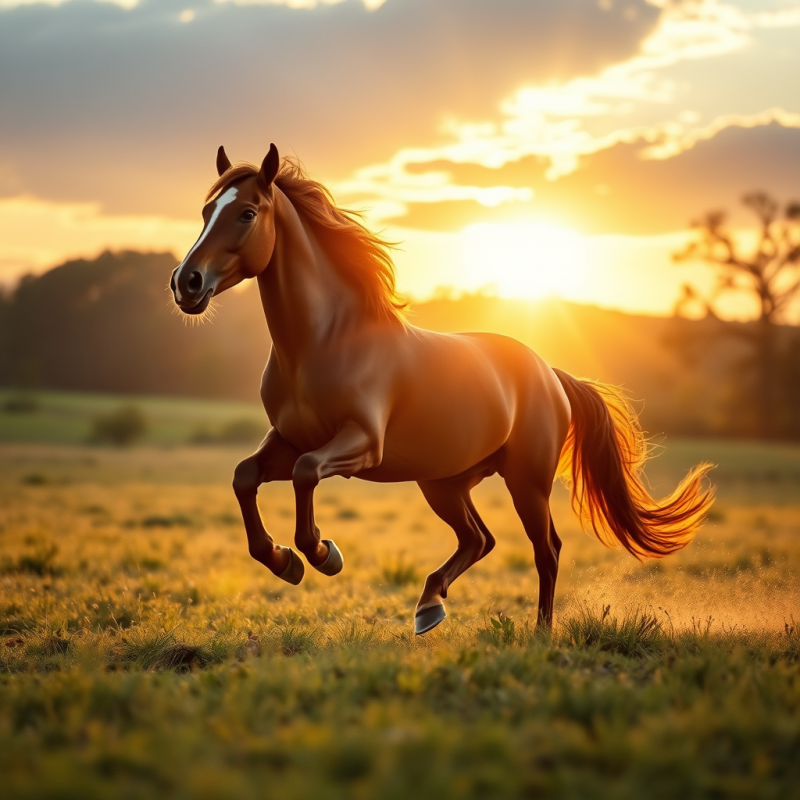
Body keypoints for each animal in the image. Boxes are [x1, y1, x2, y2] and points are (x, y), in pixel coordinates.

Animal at [170, 144, 714, 635]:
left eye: (246, 213)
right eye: (206, 212)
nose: (186, 283)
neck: (323, 343)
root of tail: (550, 373)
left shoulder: (360, 443)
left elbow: (306, 475)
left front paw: (323, 555)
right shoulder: (286, 439)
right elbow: (244, 477)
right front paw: (284, 561)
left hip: (526, 482)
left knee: (546, 549)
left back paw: (539, 632)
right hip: (444, 483)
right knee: (479, 540)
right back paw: (428, 607)